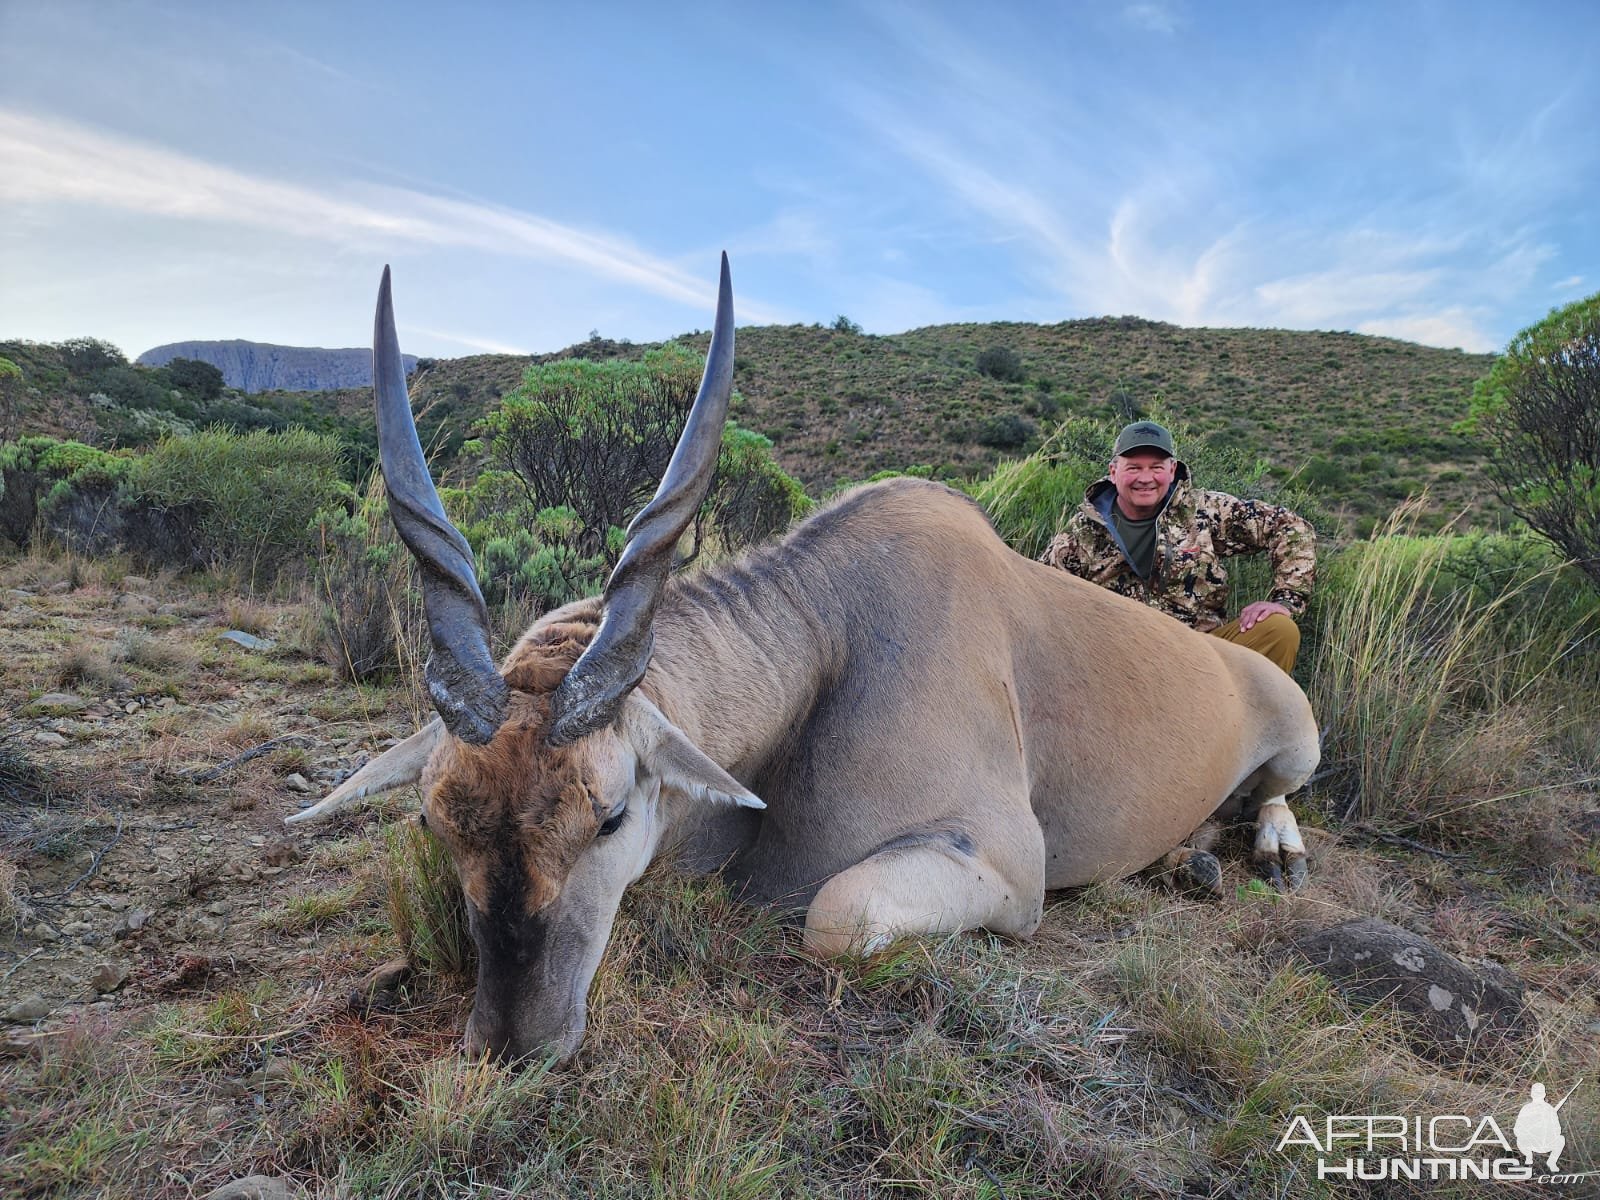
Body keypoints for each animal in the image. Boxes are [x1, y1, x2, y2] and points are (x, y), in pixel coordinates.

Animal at [288, 259, 1312, 1068]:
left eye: (610, 817)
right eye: (436, 822)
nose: (512, 1042)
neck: (831, 645)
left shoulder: (1010, 871)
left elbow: (834, 915)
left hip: (1296, 744)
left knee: (1275, 794)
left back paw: (1266, 852)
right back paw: (1192, 855)